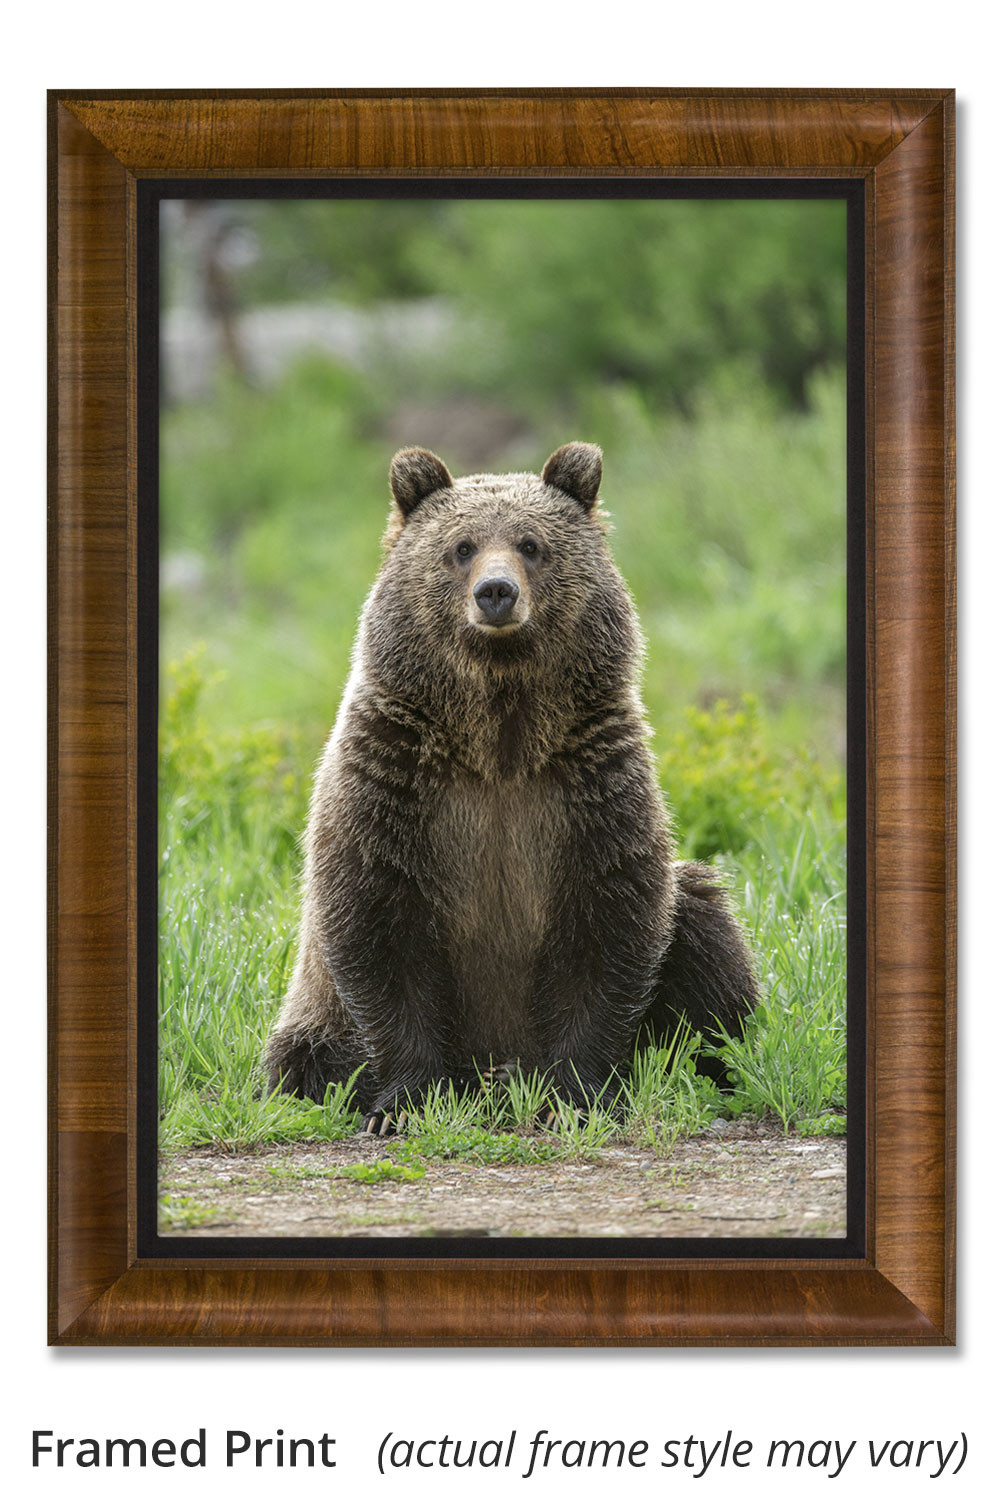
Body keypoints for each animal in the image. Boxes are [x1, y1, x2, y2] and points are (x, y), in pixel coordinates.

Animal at [265, 442, 758, 1133]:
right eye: (462, 546)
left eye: (531, 544)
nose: (495, 592)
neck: (497, 735)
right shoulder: (395, 781)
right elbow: (378, 925)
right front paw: (404, 1102)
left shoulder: (588, 786)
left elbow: (610, 926)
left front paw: (573, 1097)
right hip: (312, 1022)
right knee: (304, 1060)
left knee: (705, 925)